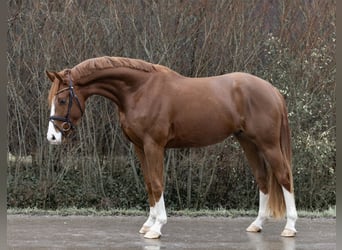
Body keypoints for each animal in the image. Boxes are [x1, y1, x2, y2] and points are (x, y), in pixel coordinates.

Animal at [46, 56, 298, 238]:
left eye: (62, 100)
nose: (52, 137)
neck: (139, 90)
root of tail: (273, 91)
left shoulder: (154, 145)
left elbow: (158, 183)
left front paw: (157, 228)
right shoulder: (140, 147)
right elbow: (149, 183)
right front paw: (148, 224)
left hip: (268, 144)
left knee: (284, 176)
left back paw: (290, 227)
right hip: (248, 142)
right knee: (263, 179)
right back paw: (257, 224)